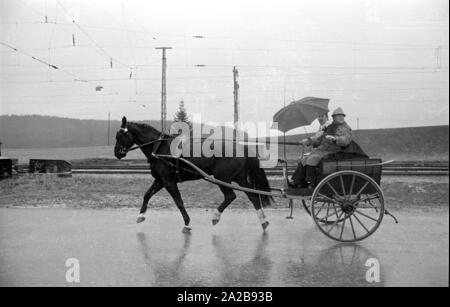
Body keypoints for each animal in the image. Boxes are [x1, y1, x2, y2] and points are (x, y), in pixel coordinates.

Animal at [114, 117, 272, 233]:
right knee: (253, 196)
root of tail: (242, 147)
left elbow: (179, 202)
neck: (159, 148)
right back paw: (263, 221)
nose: (117, 153)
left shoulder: (168, 181)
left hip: (222, 177)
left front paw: (187, 223)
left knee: (230, 196)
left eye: (120, 135)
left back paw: (216, 216)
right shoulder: (160, 180)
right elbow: (147, 195)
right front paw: (141, 215)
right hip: (239, 178)